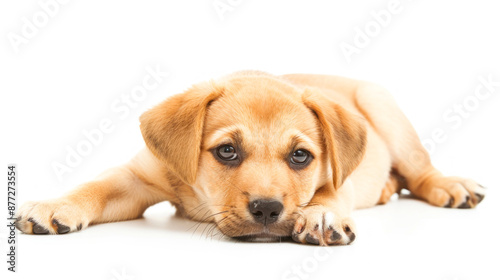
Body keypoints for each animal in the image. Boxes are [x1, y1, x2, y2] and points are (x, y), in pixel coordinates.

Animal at [15, 70, 484, 245]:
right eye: (227, 151)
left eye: (300, 157)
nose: (267, 210)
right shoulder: (137, 176)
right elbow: (96, 185)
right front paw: (56, 205)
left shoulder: (338, 179)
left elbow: (328, 195)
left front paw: (320, 216)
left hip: (384, 108)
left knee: (420, 172)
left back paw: (451, 185)